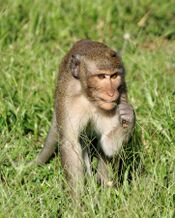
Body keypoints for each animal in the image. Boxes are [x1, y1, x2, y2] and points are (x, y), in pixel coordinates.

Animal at [34, 39, 135, 198]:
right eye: (101, 76)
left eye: (114, 76)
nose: (112, 93)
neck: (90, 97)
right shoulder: (68, 98)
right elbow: (70, 144)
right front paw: (78, 200)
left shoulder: (119, 99)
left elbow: (108, 145)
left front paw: (129, 117)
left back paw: (104, 188)